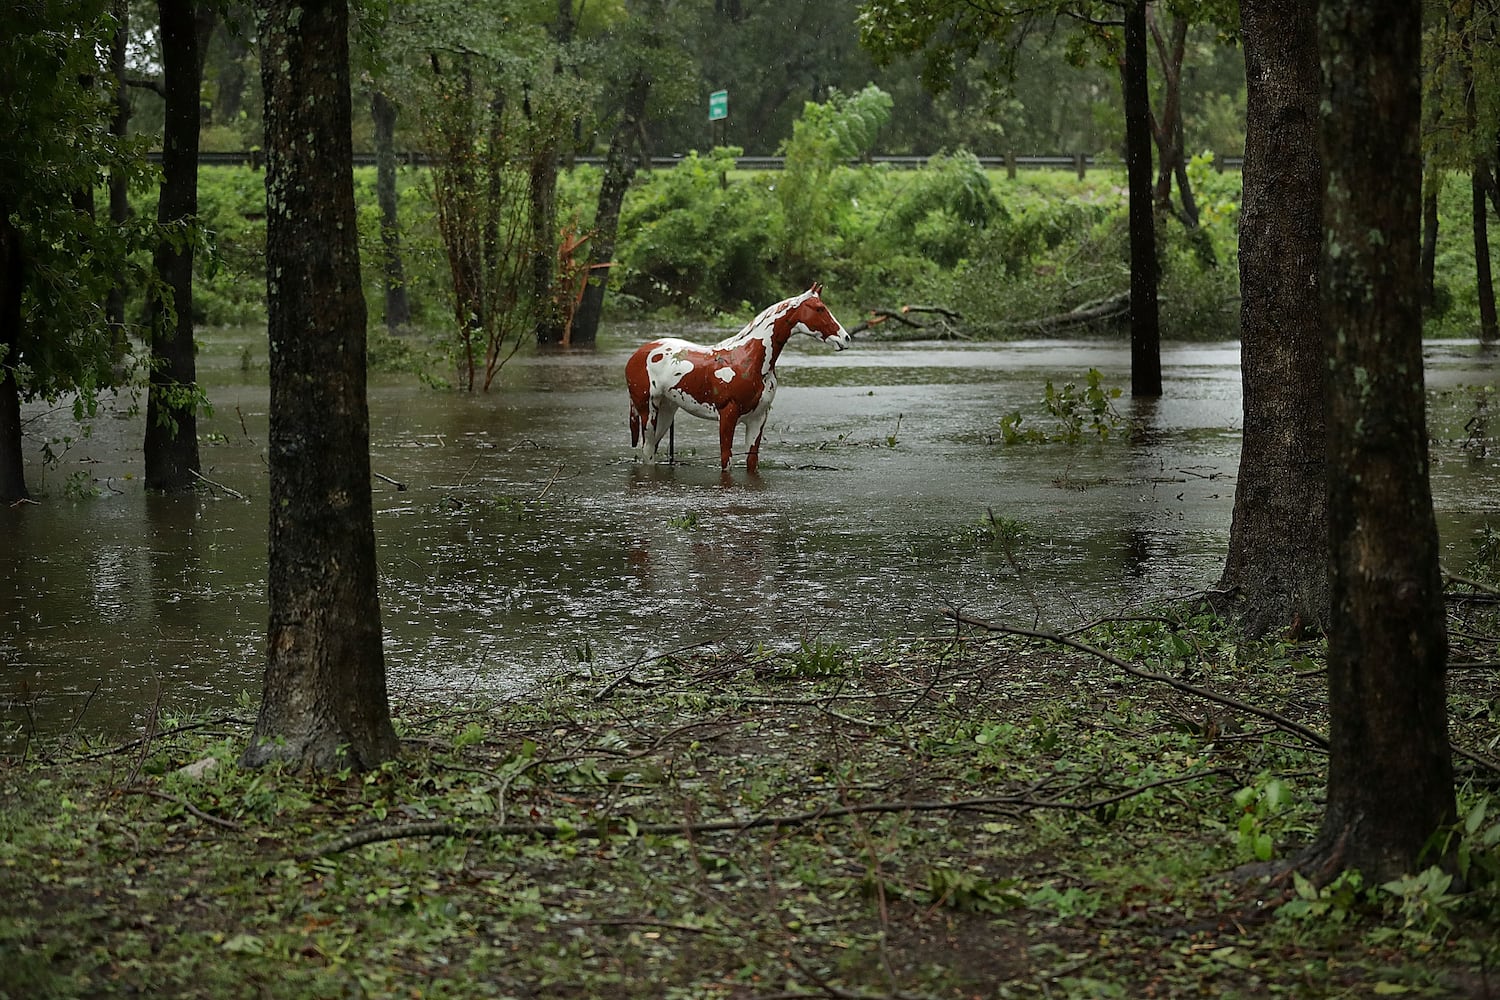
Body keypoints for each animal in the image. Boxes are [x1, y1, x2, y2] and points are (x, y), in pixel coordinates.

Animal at [627, 283, 852, 476]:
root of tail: (636, 355)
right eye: (820, 309)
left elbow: (752, 461)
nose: (845, 338)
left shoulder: (758, 418)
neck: (749, 359)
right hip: (648, 411)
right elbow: (726, 460)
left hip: (666, 410)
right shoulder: (728, 415)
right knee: (647, 451)